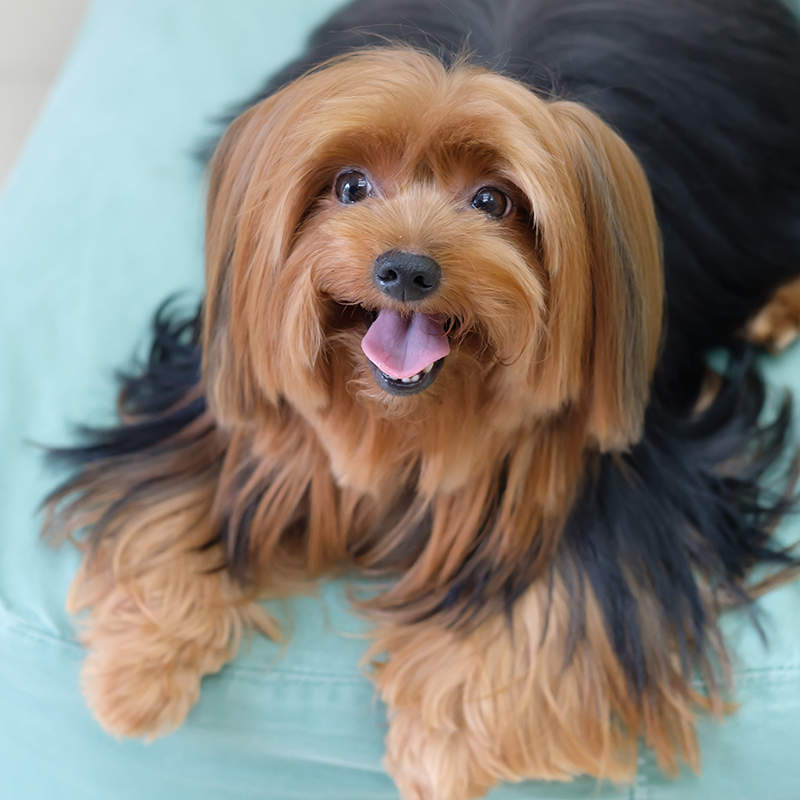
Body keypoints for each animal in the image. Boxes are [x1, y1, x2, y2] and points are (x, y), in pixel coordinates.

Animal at [42, 0, 800, 796]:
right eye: (350, 187)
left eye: (493, 200)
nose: (405, 269)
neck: (407, 419)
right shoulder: (225, 405)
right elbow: (171, 501)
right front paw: (136, 676)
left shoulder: (614, 478)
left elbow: (555, 612)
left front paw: (440, 750)